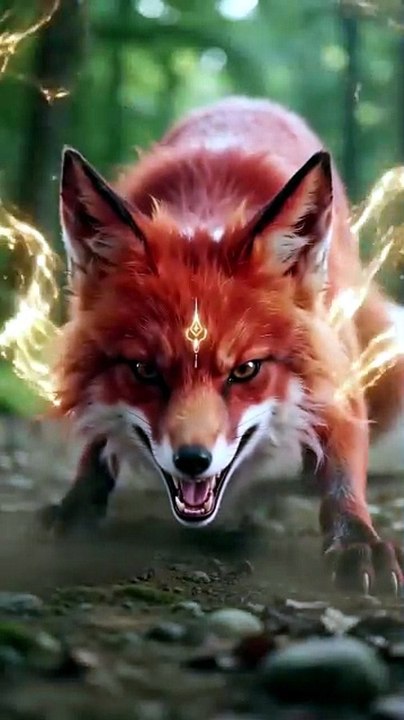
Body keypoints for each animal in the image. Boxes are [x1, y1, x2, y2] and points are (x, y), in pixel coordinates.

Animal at [42, 96, 404, 594]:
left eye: (246, 370)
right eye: (145, 371)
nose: (193, 461)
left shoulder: (335, 361)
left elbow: (342, 466)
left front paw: (356, 538)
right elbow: (96, 440)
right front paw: (78, 506)